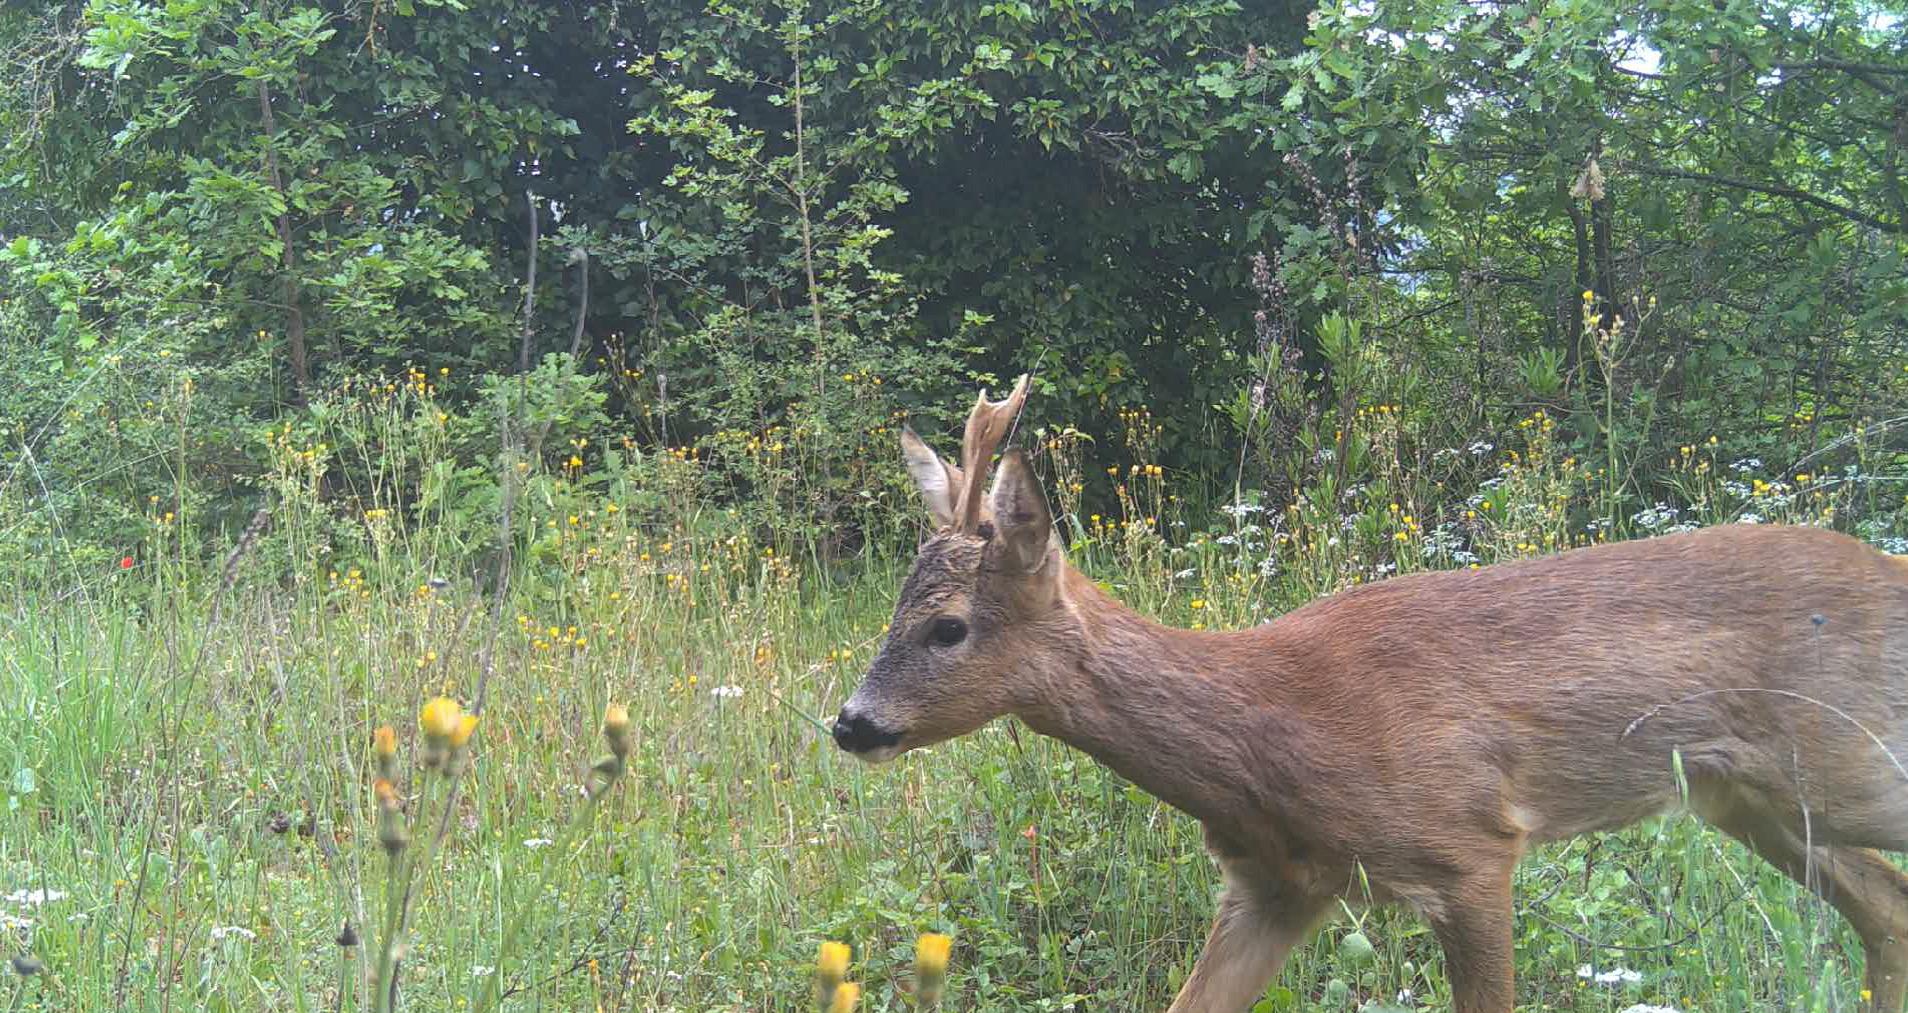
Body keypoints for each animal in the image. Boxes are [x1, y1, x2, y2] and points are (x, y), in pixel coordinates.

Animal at [839, 377, 1908, 1013]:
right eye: (896, 605)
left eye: (947, 627)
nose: (851, 723)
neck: (1274, 729)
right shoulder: (1273, 886)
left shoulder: (1468, 847)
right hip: (1755, 799)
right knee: (1885, 909)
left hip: (1848, 764)